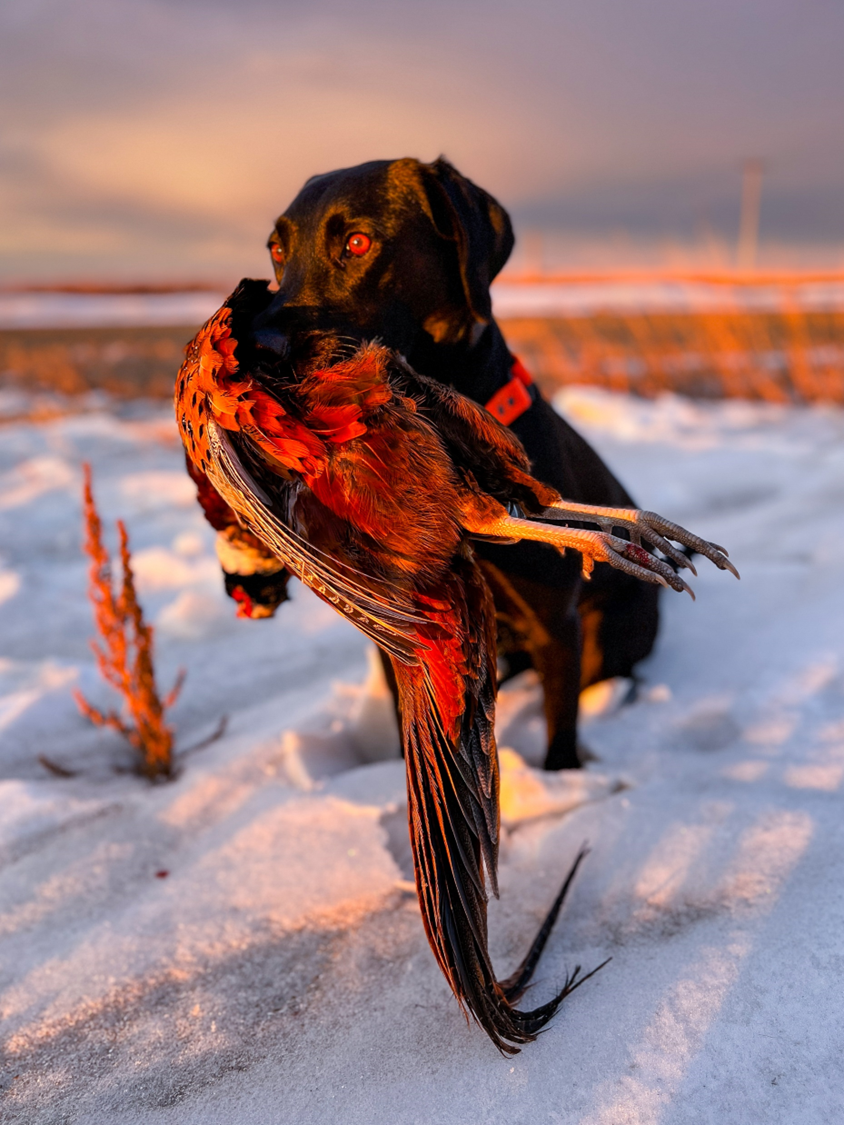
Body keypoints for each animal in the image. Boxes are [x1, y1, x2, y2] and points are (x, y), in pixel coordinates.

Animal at [229, 160, 661, 774]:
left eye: (357, 243)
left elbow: (561, 732)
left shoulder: (557, 623)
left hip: (613, 631)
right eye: (276, 249)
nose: (252, 349)